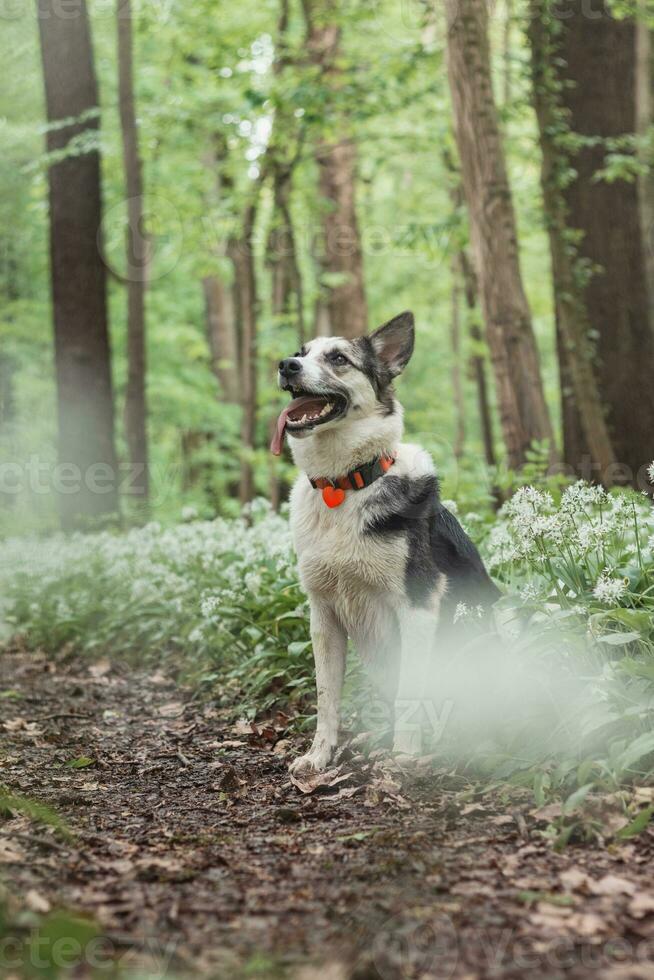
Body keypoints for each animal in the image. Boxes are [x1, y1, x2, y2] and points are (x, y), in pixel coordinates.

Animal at [270, 314, 500, 772]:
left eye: (338, 358)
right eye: (301, 352)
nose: (286, 365)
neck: (342, 485)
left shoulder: (417, 607)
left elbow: (410, 692)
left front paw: (403, 756)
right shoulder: (323, 616)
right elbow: (327, 698)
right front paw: (320, 754)